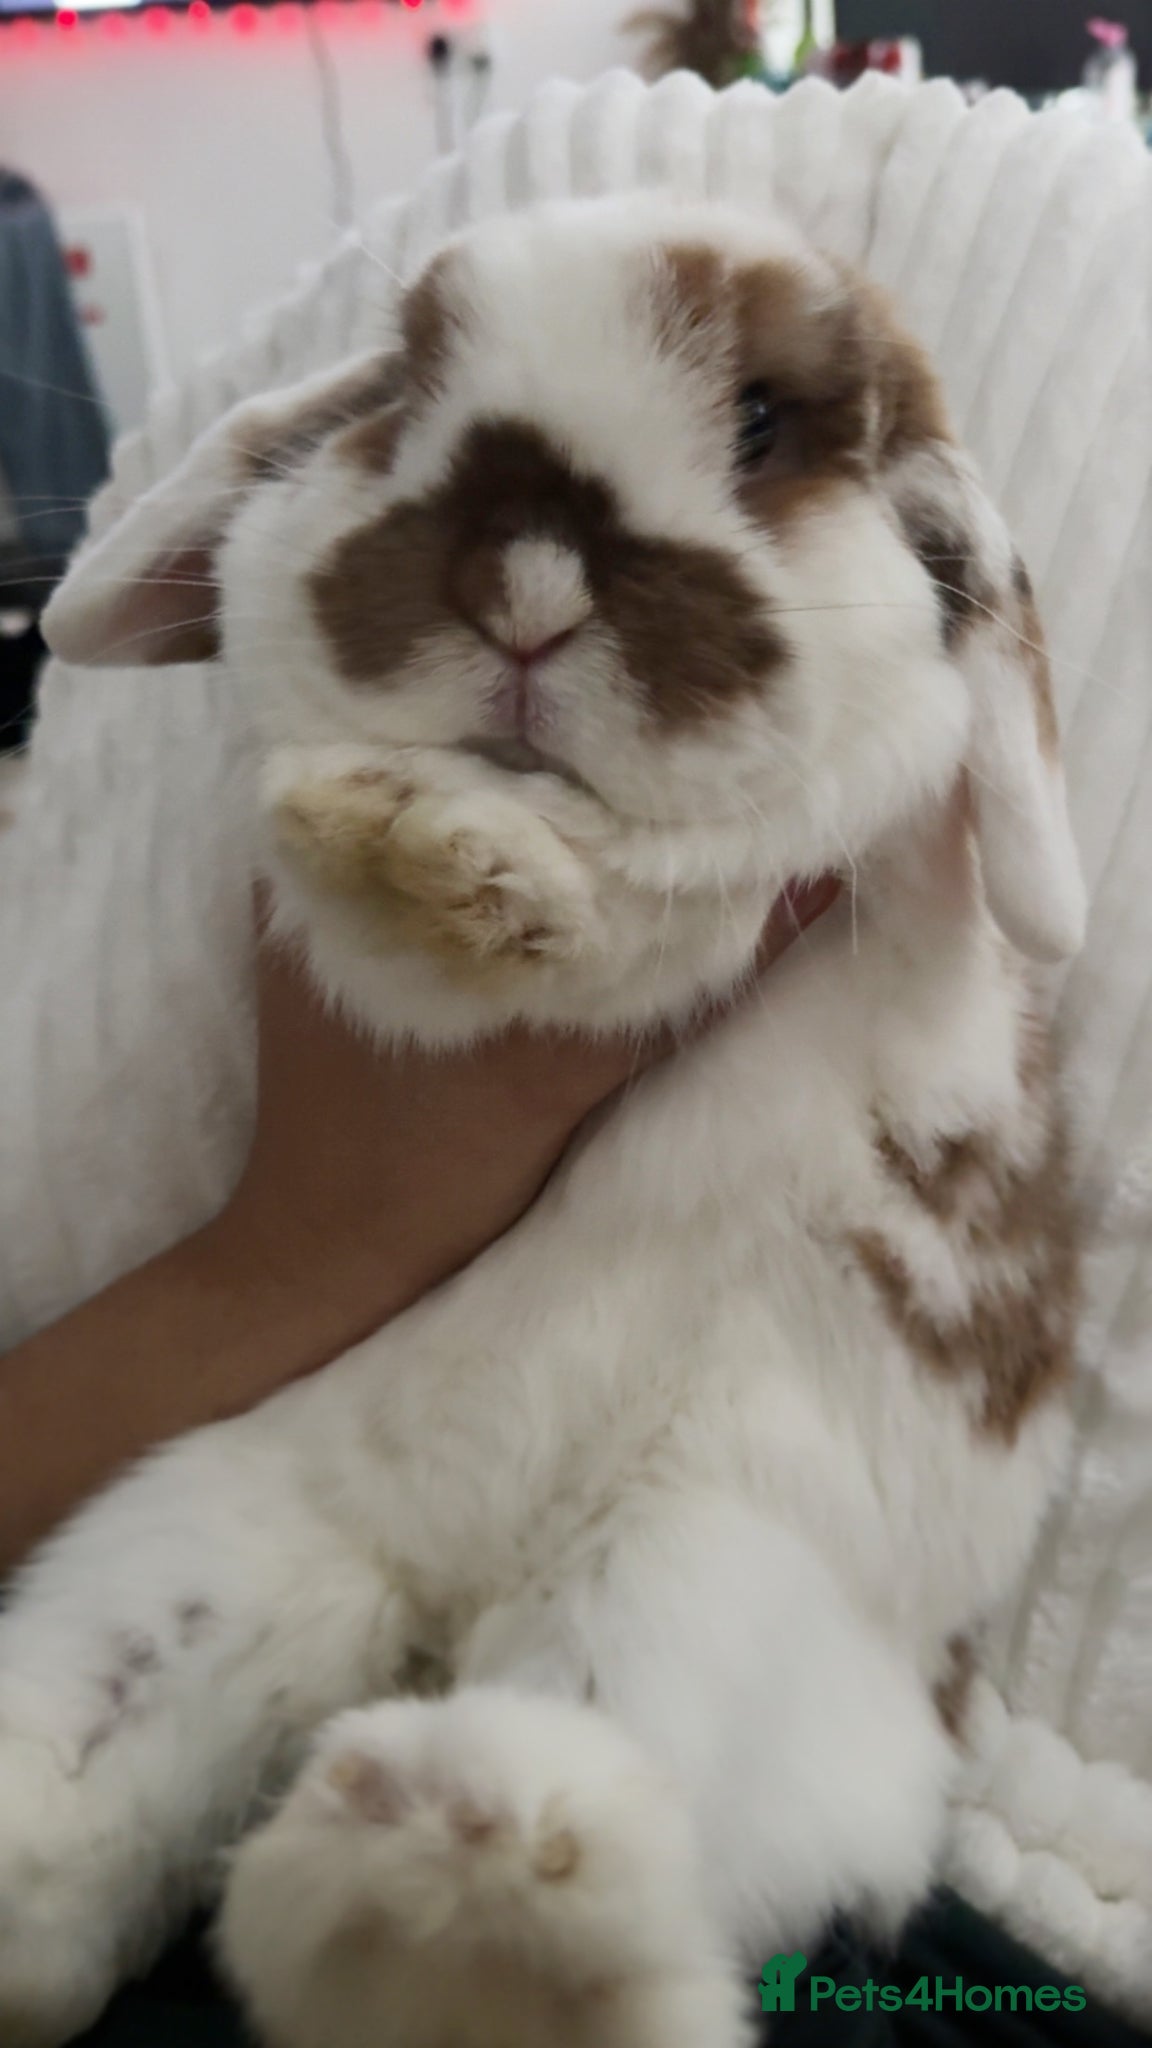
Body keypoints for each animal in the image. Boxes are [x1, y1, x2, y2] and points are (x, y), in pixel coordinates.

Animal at [2, 192, 1085, 2048]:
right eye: (405, 385)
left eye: (762, 423)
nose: (523, 592)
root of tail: (437, 1606)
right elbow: (404, 919)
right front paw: (397, 831)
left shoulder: (859, 887)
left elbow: (653, 901)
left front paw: (465, 855)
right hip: (203, 1539)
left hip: (697, 1588)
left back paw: (455, 1901)